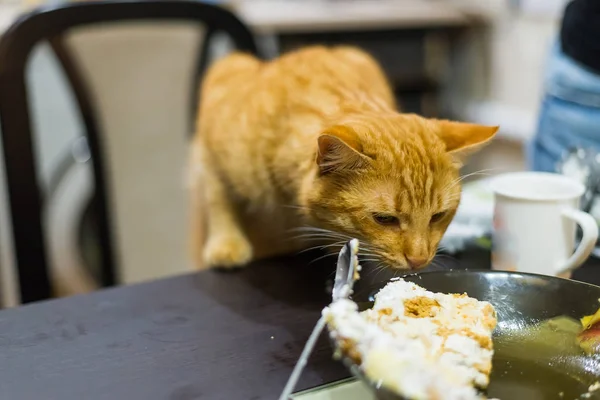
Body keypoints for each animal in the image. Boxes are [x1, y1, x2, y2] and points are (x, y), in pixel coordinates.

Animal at [190, 46, 500, 272]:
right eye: (385, 219)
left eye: (438, 216)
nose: (419, 260)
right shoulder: (208, 147)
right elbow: (218, 198)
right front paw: (226, 244)